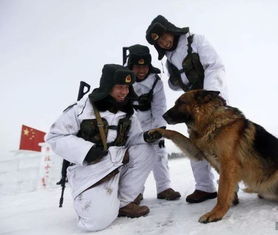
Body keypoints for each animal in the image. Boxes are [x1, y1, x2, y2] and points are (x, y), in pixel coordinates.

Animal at [151, 90, 276, 224]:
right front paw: (156, 131)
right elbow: (175, 133)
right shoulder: (197, 152)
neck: (210, 121)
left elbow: (222, 192)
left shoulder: (227, 165)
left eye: (181, 102)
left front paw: (216, 213)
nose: (163, 116)